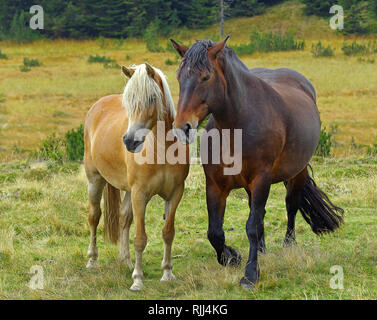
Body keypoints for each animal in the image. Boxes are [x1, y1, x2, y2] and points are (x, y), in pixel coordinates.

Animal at [82, 62, 188, 290]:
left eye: (151, 99)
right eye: (129, 101)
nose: (130, 141)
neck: (161, 149)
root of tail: (97, 107)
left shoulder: (175, 193)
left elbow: (168, 233)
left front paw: (167, 273)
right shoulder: (140, 194)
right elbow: (140, 238)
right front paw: (138, 280)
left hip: (129, 191)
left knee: (124, 218)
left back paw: (126, 260)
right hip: (95, 180)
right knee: (94, 217)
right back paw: (92, 260)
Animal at [171, 37, 344, 290]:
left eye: (206, 77)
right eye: (179, 76)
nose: (182, 127)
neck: (236, 128)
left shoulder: (261, 180)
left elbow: (252, 226)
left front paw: (250, 274)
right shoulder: (215, 185)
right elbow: (215, 232)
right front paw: (232, 257)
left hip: (297, 173)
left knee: (290, 206)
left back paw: (288, 245)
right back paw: (261, 250)